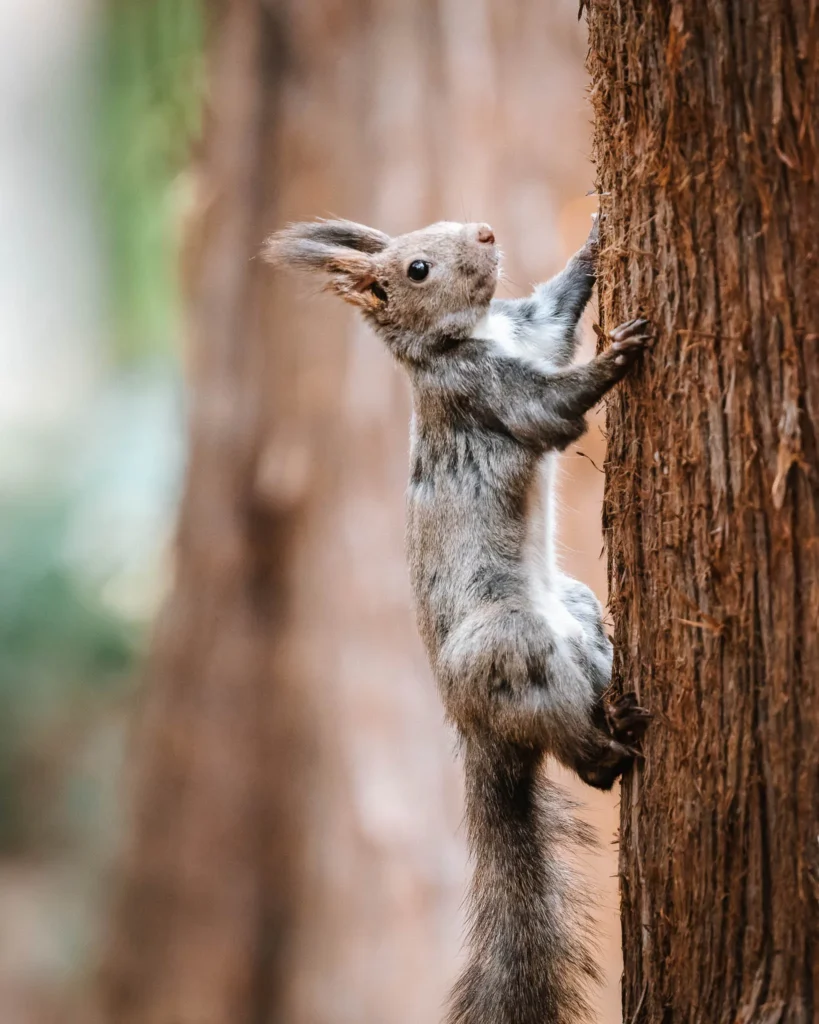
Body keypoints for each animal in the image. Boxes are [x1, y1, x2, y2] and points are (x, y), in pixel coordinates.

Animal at [264, 214, 651, 1024]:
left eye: (440, 231)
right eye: (416, 269)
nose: (484, 230)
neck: (473, 333)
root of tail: (472, 726)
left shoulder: (529, 328)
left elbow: (555, 308)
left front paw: (596, 239)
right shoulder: (483, 391)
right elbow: (551, 407)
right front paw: (617, 354)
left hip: (574, 614)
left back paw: (612, 706)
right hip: (510, 642)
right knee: (574, 749)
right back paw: (606, 746)